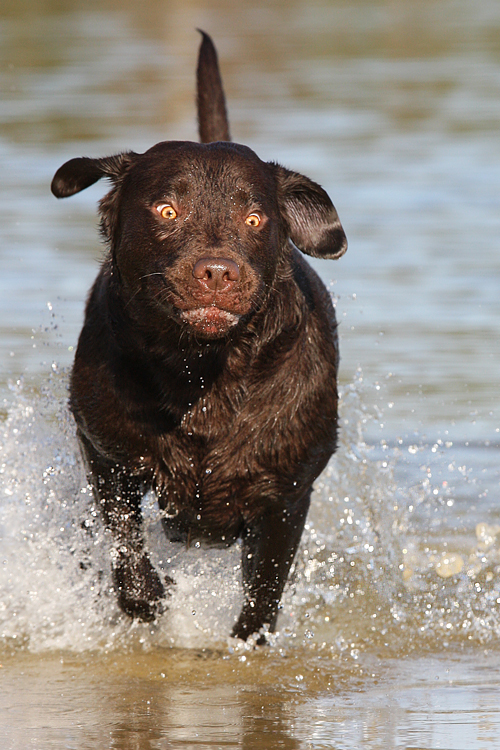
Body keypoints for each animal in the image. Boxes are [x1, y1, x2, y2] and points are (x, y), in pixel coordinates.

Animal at [51, 32, 348, 644]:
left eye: (256, 219)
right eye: (168, 209)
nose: (218, 271)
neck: (201, 374)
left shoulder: (286, 494)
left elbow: (264, 593)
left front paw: (244, 644)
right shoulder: (106, 455)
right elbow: (126, 550)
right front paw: (150, 600)